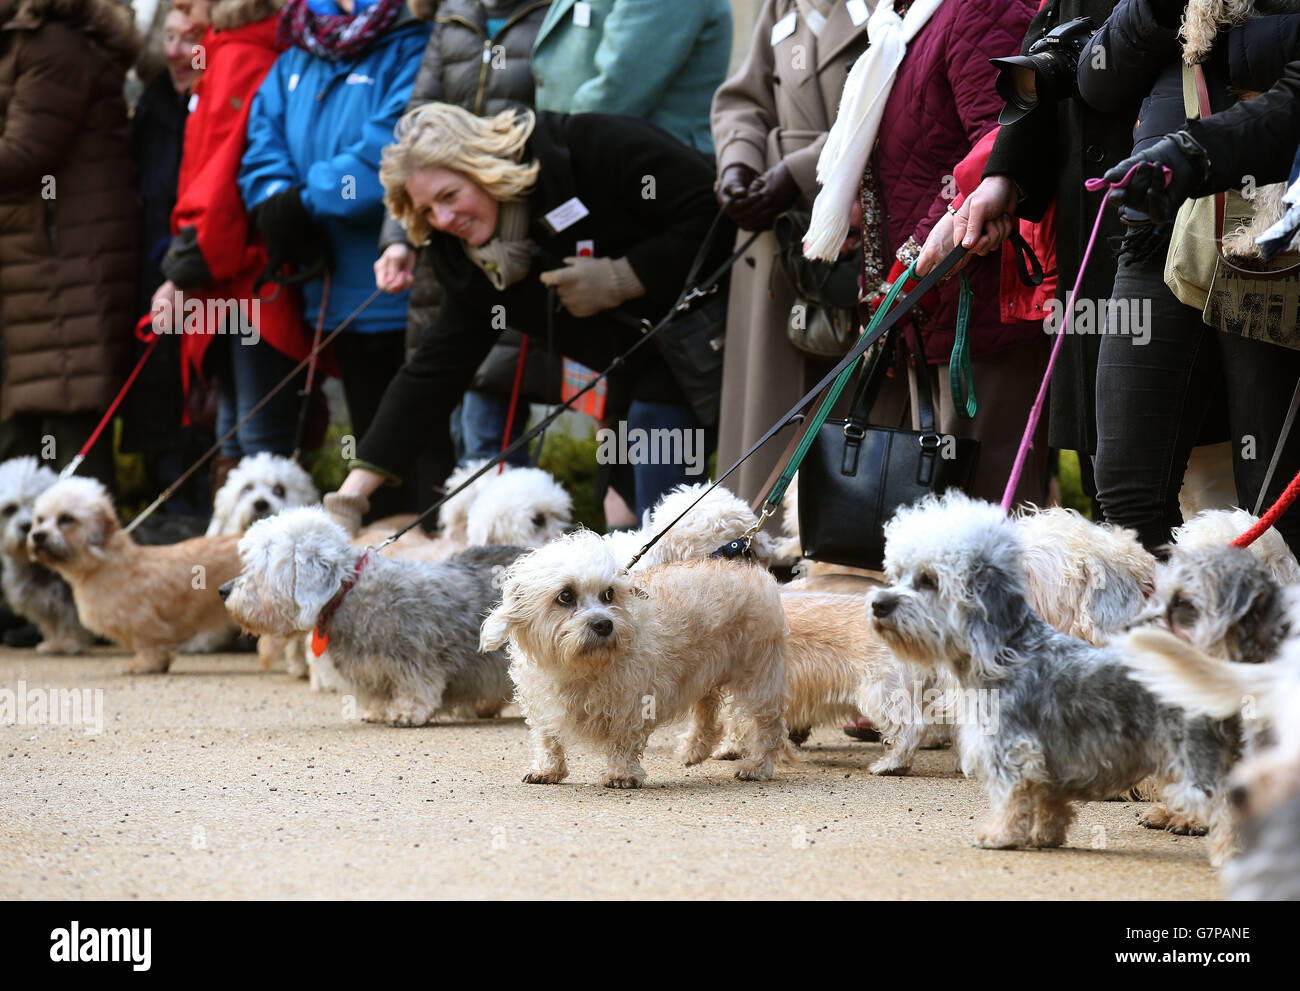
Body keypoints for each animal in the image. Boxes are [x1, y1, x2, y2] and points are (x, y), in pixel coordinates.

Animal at [0, 457, 94, 655]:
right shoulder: (43, 602)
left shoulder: (69, 598)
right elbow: (52, 623)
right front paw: (55, 643)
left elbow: (68, 620)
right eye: (10, 509)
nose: (27, 526)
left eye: (36, 505)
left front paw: (67, 644)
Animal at [28, 473, 241, 671]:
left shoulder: (143, 622)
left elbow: (149, 646)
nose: (38, 536)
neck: (105, 563)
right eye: (40, 519)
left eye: (66, 518)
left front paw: (145, 665)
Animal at [220, 504, 525, 723]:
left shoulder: (415, 660)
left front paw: (405, 713)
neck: (347, 594)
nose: (224, 590)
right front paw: (378, 711)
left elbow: (417, 688)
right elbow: (380, 695)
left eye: (262, 564)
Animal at [483, 528, 785, 785]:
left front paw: (621, 774)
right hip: (703, 671)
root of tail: (749, 569)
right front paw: (547, 770)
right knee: (707, 710)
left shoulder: (631, 702)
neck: (578, 667)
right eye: (565, 596)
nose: (604, 624)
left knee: (768, 727)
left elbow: (623, 740)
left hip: (759, 678)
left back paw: (756, 766)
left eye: (608, 594)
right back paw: (694, 749)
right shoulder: (541, 702)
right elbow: (548, 737)